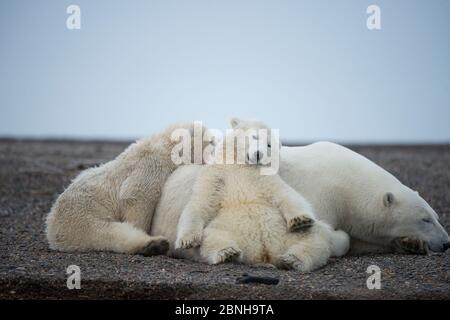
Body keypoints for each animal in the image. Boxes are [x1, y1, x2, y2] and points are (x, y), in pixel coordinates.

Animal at [44, 121, 208, 256]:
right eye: (211, 142)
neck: (166, 147)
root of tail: (50, 228)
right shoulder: (150, 166)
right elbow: (137, 197)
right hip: (81, 215)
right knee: (108, 233)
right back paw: (154, 245)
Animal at [152, 141, 450, 256]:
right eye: (425, 219)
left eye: (435, 216)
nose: (447, 243)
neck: (349, 187)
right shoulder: (323, 196)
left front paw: (411, 243)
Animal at [153, 119, 350, 272]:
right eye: (254, 136)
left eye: (269, 144)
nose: (258, 154)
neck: (241, 166)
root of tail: (264, 255)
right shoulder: (216, 175)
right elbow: (201, 202)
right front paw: (186, 241)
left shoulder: (263, 178)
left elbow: (285, 194)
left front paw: (300, 220)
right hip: (226, 227)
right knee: (212, 238)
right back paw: (227, 252)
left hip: (292, 235)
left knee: (316, 240)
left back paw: (293, 259)